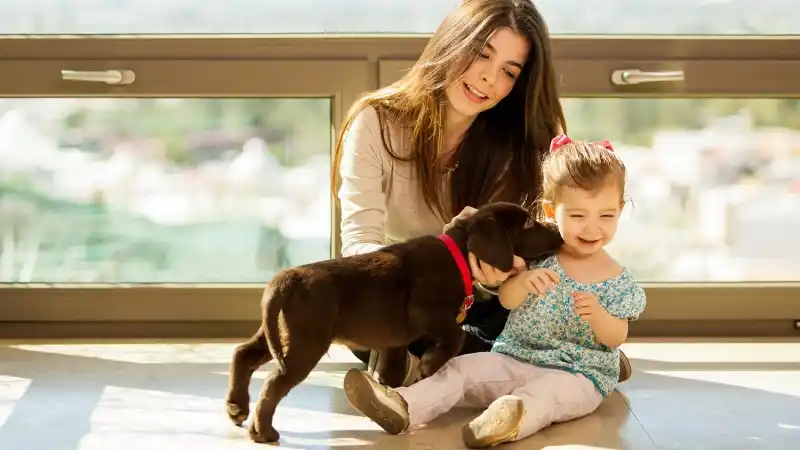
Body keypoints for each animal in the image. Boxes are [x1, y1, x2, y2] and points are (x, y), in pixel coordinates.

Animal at [225, 201, 564, 442]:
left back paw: (237, 406)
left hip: (280, 333)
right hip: (306, 342)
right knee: (274, 381)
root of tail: (288, 277)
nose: (560, 233)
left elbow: (391, 369)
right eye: (529, 223)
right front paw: (429, 365)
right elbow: (454, 336)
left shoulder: (395, 341)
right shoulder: (425, 311)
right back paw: (262, 432)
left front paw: (388, 392)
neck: (459, 256)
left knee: (243, 354)